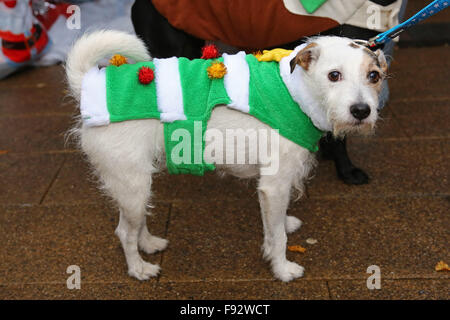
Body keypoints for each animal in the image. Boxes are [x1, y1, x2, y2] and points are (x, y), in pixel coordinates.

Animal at [66, 29, 386, 280]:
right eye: (334, 75)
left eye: (374, 76)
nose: (361, 111)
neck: (296, 92)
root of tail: (87, 85)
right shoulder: (274, 184)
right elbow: (278, 237)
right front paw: (282, 269)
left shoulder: (276, 187)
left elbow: (275, 223)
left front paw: (283, 225)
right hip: (131, 183)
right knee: (124, 232)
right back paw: (139, 269)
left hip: (136, 184)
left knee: (136, 220)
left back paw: (149, 243)